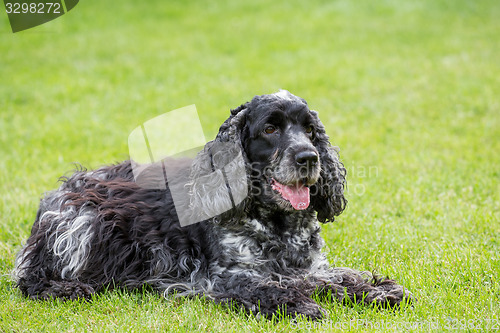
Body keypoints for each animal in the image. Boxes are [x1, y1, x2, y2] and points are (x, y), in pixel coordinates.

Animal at [13, 89, 412, 318]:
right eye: (270, 129)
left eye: (310, 129)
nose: (308, 157)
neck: (277, 226)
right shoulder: (223, 277)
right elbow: (269, 288)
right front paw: (300, 304)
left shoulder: (310, 266)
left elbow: (341, 276)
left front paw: (379, 290)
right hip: (88, 224)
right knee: (30, 277)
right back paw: (69, 288)